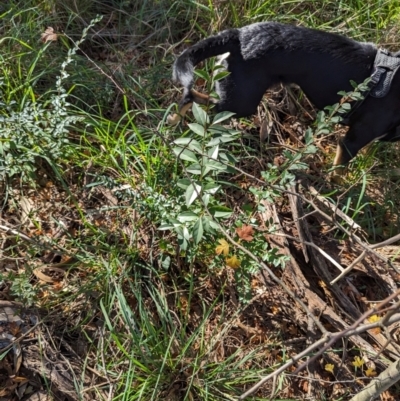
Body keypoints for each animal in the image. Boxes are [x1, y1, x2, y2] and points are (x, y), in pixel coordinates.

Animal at [168, 22, 400, 170]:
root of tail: (239, 35)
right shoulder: (352, 141)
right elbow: (338, 171)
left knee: (193, 98)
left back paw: (172, 121)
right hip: (240, 103)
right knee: (195, 99)